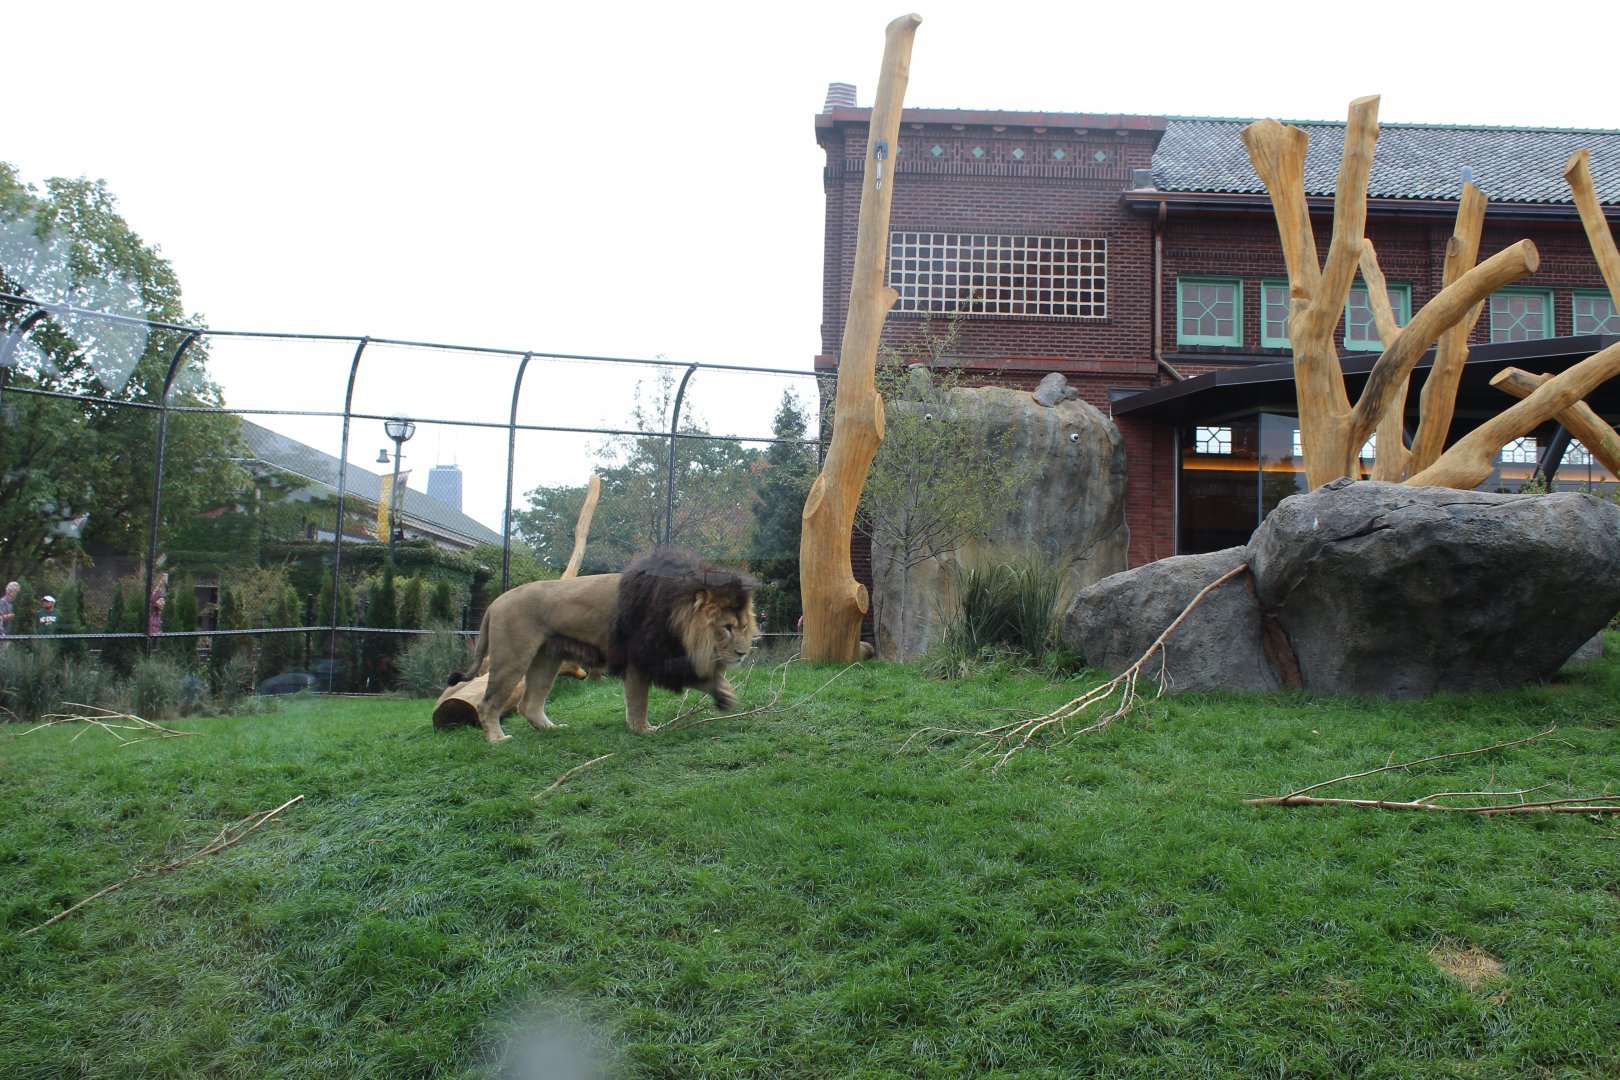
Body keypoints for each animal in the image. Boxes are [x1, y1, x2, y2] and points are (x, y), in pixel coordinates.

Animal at [448, 548, 759, 742]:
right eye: (727, 628)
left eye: (744, 626)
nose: (743, 653)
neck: (680, 619)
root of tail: (494, 603)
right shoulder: (640, 658)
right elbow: (638, 702)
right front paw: (643, 730)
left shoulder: (669, 656)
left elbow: (701, 678)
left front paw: (724, 694)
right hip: (512, 658)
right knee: (487, 704)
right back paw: (497, 740)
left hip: (545, 660)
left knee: (528, 704)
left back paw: (551, 729)